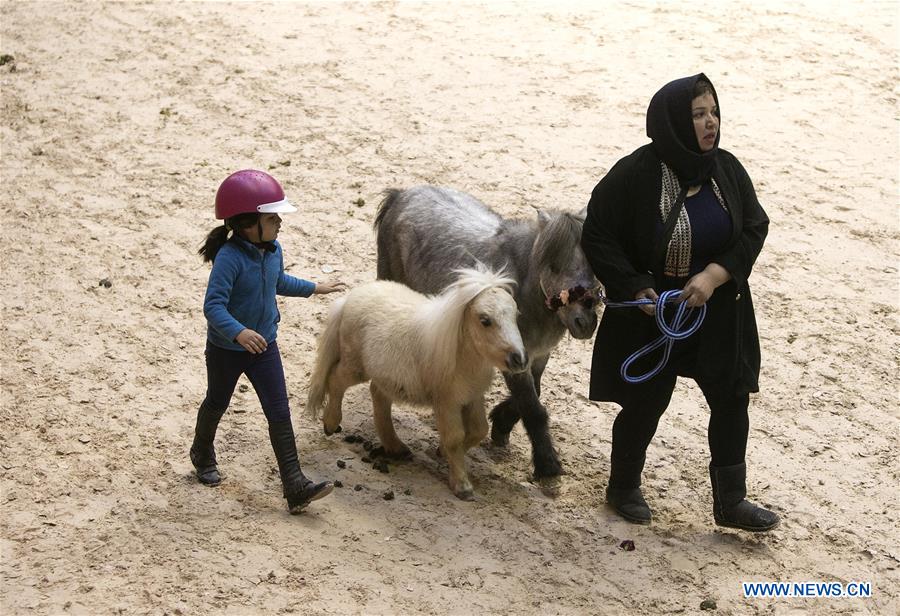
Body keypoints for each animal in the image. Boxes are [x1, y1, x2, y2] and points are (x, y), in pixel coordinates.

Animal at [308, 268, 528, 498]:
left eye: (515, 315)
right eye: (485, 320)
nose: (519, 360)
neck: (459, 355)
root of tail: (348, 299)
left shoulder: (473, 398)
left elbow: (479, 430)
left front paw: (441, 452)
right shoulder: (447, 404)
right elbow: (455, 438)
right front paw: (462, 485)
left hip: (384, 377)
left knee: (378, 398)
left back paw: (396, 447)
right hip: (355, 368)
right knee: (336, 381)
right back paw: (331, 424)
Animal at [372, 185, 596, 478]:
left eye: (594, 264)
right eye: (553, 266)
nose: (586, 322)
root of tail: (400, 194)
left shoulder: (537, 357)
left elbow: (531, 394)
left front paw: (500, 424)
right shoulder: (516, 358)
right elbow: (533, 408)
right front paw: (548, 465)